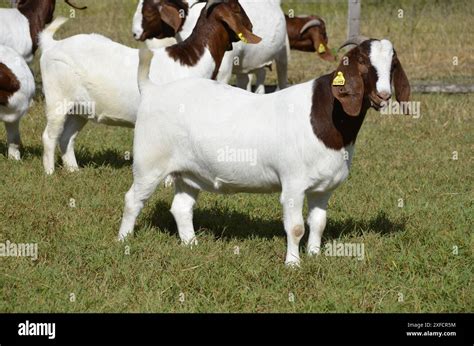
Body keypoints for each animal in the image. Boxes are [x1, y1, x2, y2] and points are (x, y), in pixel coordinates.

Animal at [39, 0, 262, 174]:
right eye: (237, 9)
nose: (252, 26)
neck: (191, 60)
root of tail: (51, 45)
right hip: (57, 99)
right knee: (50, 136)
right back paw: (50, 173)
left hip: (80, 108)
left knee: (67, 137)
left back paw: (73, 171)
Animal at [118, 36, 412, 266]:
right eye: (362, 61)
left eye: (393, 64)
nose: (384, 95)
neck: (326, 117)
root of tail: (152, 90)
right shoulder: (293, 183)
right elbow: (296, 227)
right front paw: (293, 264)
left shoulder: (324, 188)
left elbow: (318, 223)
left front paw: (315, 255)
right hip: (149, 162)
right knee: (133, 199)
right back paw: (124, 240)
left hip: (189, 171)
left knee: (181, 207)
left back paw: (191, 245)